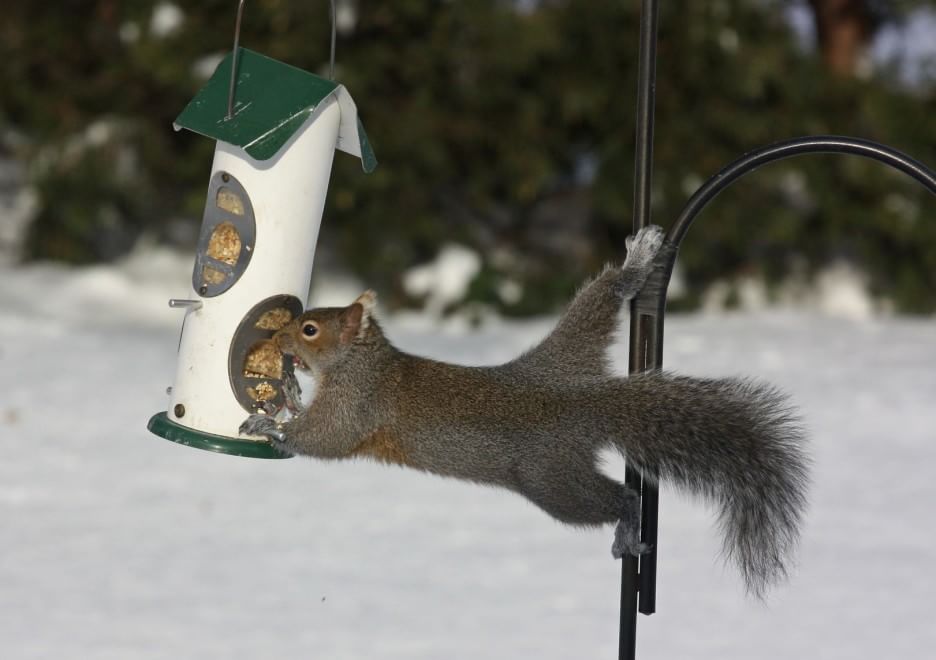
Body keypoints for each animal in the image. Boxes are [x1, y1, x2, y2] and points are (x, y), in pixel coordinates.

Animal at [240, 225, 809, 597]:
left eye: (310, 329)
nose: (279, 340)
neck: (365, 361)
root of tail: (581, 400)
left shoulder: (358, 403)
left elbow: (326, 438)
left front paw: (272, 426)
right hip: (570, 351)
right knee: (599, 301)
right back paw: (635, 265)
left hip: (552, 481)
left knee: (620, 499)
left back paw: (627, 528)